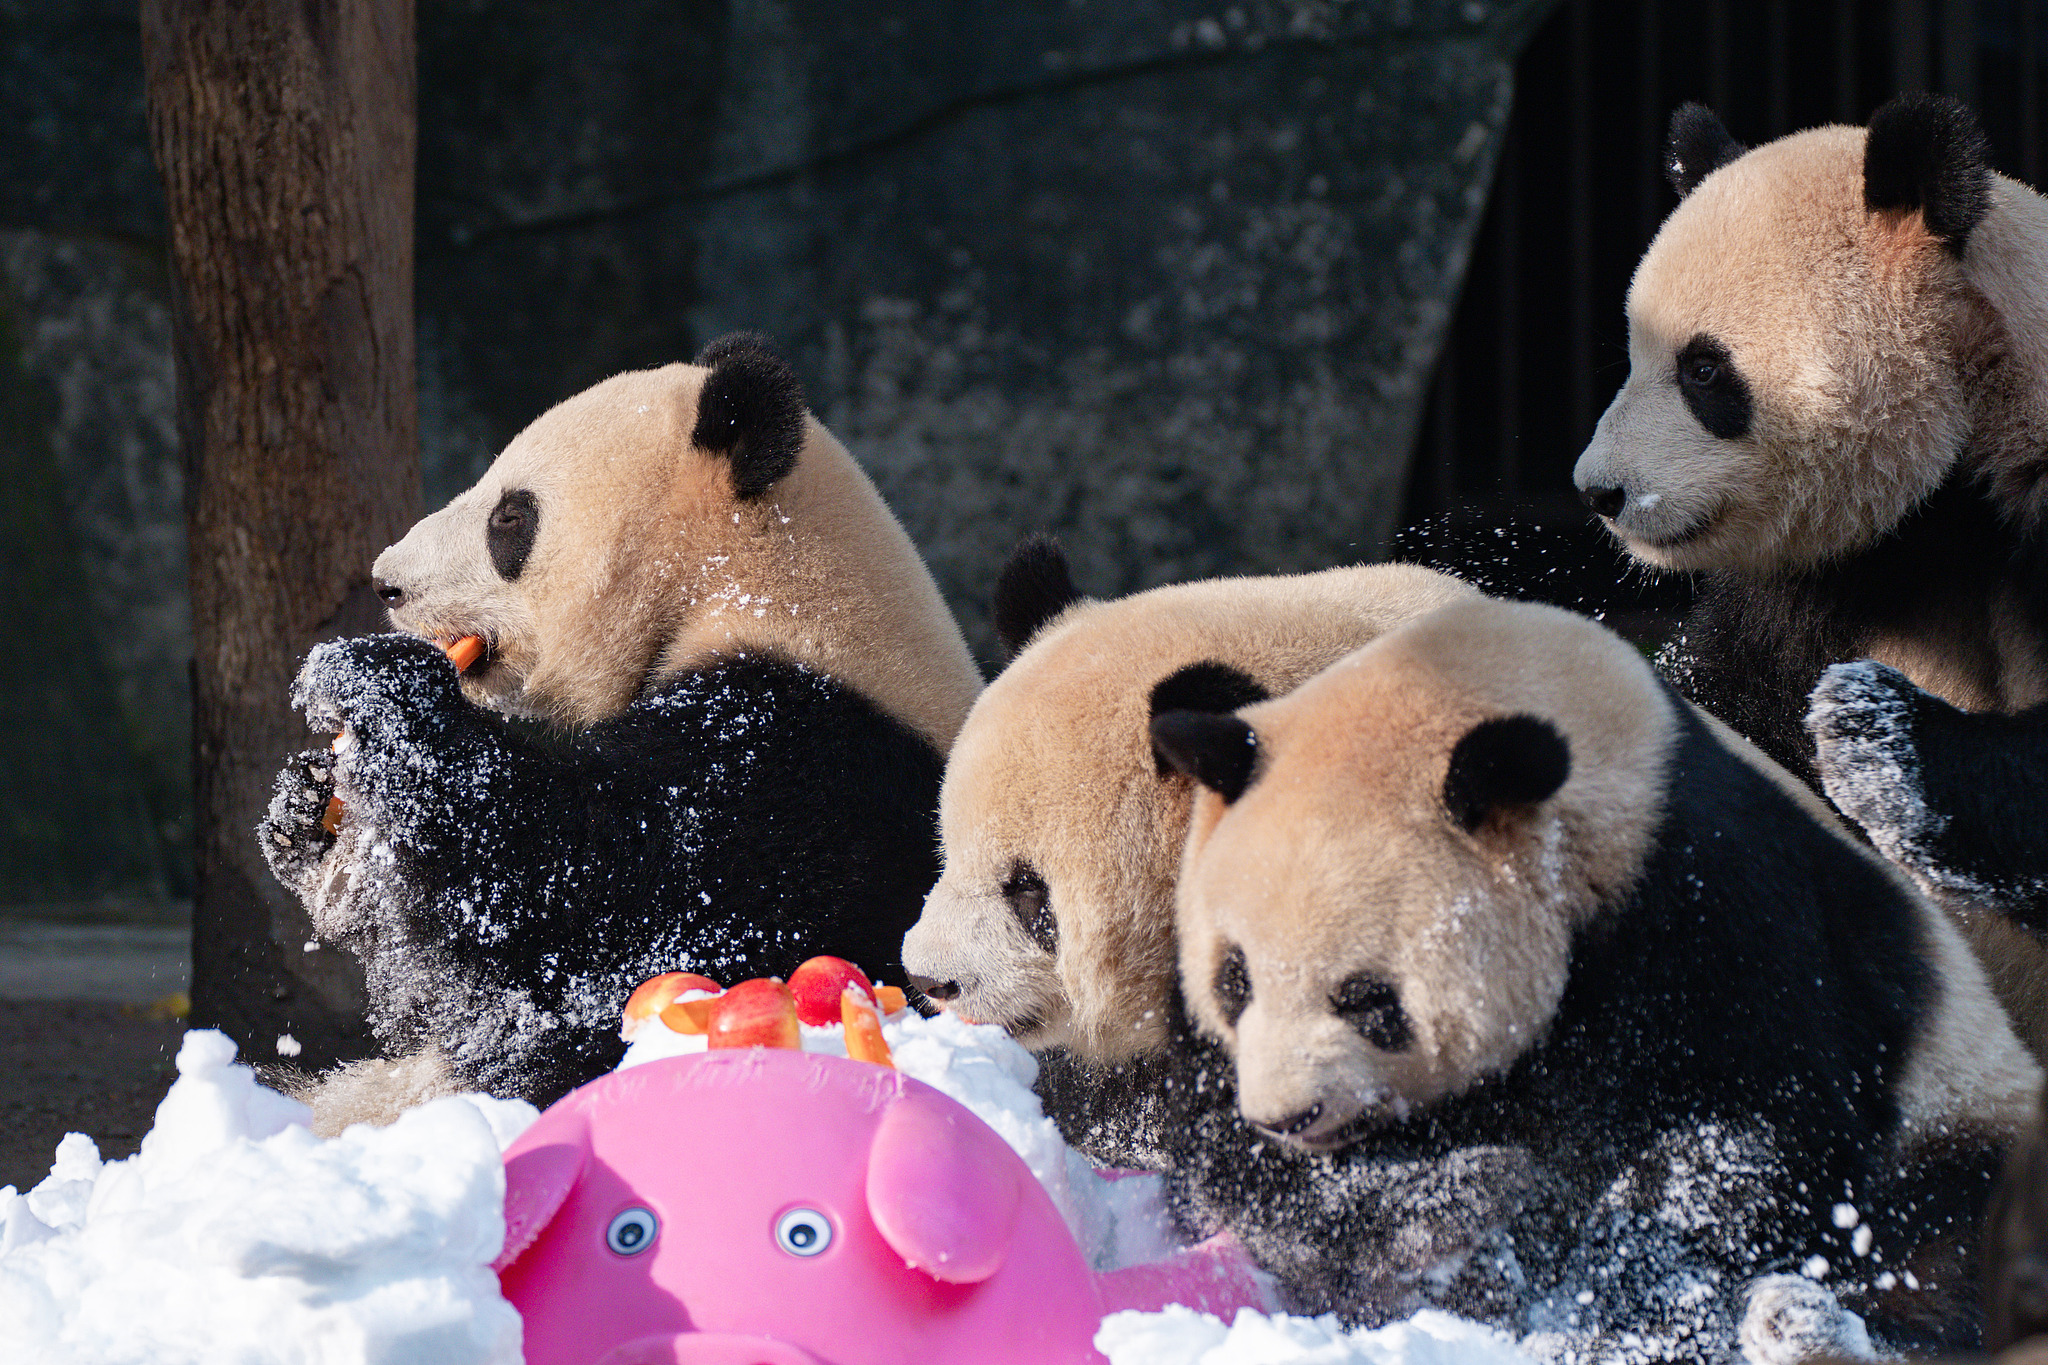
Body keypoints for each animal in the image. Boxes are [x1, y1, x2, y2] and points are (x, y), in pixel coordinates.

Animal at [256, 335, 983, 1113]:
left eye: (509, 517)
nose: (386, 582)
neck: (753, 583)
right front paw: (304, 812)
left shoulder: (808, 767)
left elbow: (586, 903)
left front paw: (373, 682)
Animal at [1146, 593, 2039, 1358]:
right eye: (1235, 979)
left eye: (1369, 998)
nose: (1288, 1115)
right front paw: (1467, 1211)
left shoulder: (1718, 909)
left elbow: (1742, 1142)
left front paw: (1598, 1319)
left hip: (1962, 1121)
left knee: (1960, 1243)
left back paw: (1808, 1323)